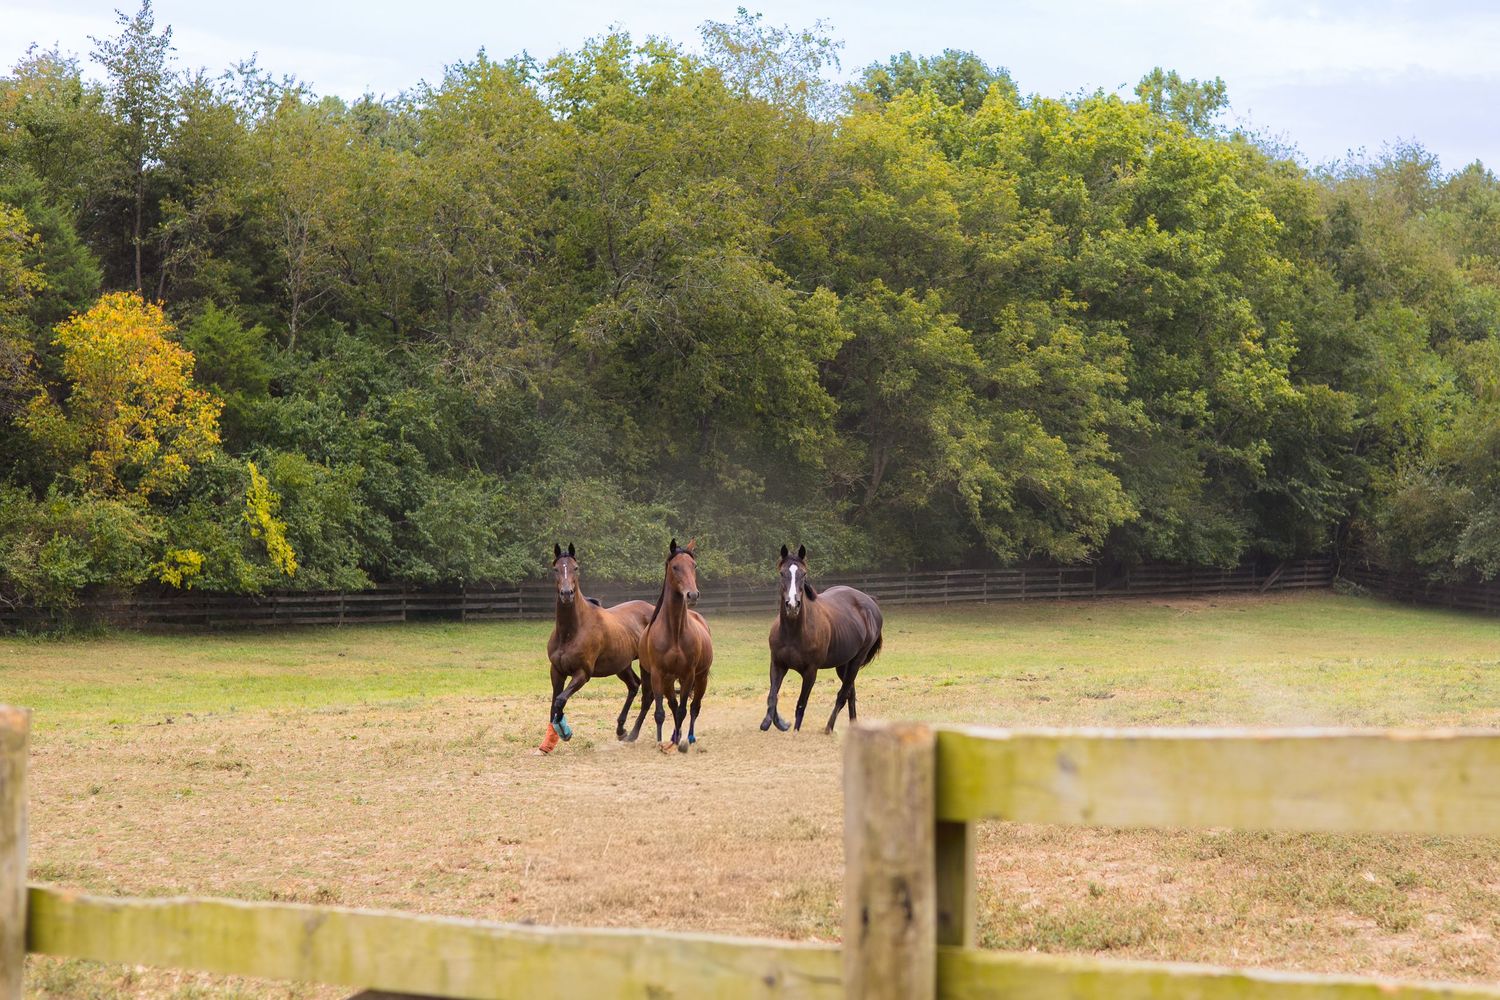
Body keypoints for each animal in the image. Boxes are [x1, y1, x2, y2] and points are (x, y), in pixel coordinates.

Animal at [538, 542, 655, 754]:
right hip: (622, 665)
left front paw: (565, 732)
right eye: (556, 569)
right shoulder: (557, 671)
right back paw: (621, 730)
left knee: (647, 696)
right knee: (634, 685)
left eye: (575, 568)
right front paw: (547, 743)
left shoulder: (582, 674)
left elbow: (560, 701)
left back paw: (633, 734)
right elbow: (554, 704)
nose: (566, 594)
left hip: (645, 665)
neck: (571, 631)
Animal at [639, 538, 713, 754]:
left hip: (701, 677)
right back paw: (674, 737)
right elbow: (661, 712)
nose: (692, 595)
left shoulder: (688, 675)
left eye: (694, 565)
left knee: (694, 707)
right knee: (673, 705)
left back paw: (688, 737)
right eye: (675, 567)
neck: (674, 634)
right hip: (669, 680)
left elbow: (682, 710)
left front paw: (680, 743)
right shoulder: (658, 675)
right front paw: (661, 742)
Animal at [762, 544, 883, 734]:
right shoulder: (778, 664)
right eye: (782, 573)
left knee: (843, 695)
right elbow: (772, 696)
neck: (793, 632)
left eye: (803, 574)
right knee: (851, 693)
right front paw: (776, 723)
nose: (792, 605)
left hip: (856, 661)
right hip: (843, 665)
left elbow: (801, 705)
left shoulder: (810, 672)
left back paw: (829, 727)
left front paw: (794, 731)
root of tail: (870, 602)